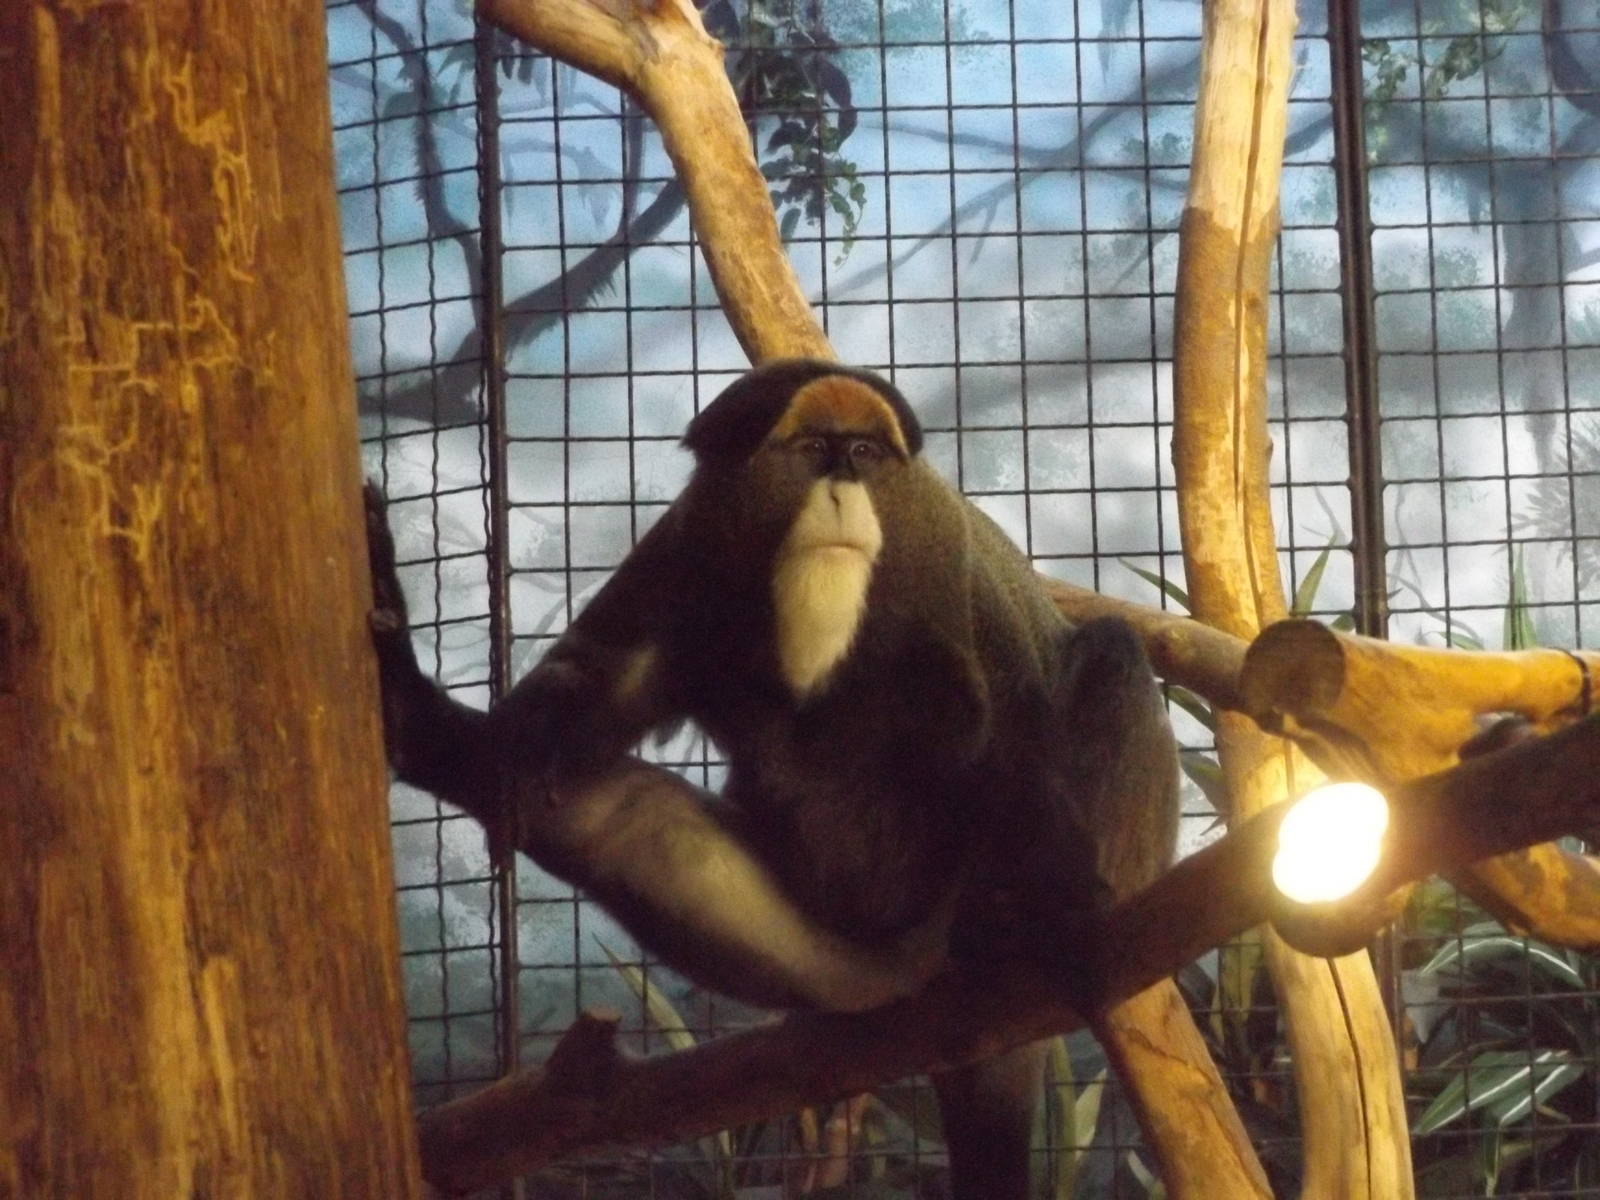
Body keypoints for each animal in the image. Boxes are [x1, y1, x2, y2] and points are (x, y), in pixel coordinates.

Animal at [365, 358, 1179, 1199]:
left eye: (865, 452)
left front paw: (1064, 903)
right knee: (617, 815)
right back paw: (412, 714)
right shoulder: (682, 553)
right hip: (843, 973)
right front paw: (511, 747)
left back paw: (1019, 928)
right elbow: (593, 685)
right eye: (814, 448)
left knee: (1114, 654)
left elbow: (1014, 728)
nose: (843, 485)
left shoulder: (960, 581)